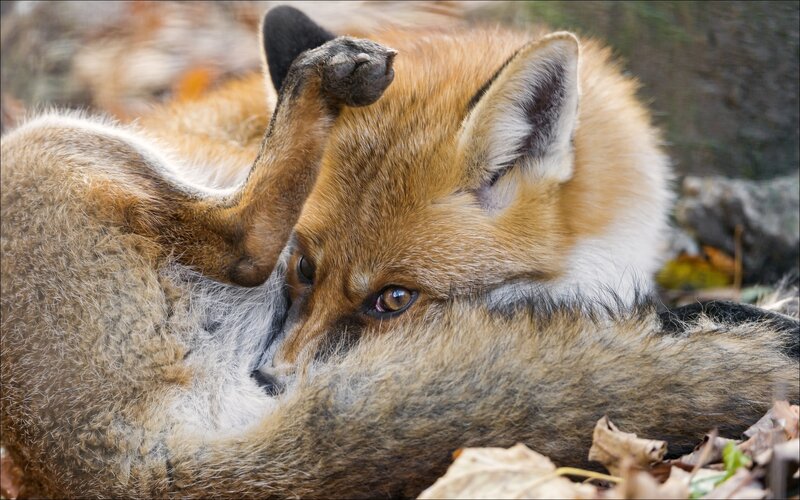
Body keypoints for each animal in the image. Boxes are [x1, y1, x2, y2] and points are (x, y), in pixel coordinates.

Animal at [0, 5, 797, 498]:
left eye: (394, 299)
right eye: (306, 268)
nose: (270, 377)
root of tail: (104, 463)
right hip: (54, 140)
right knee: (241, 241)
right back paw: (317, 79)